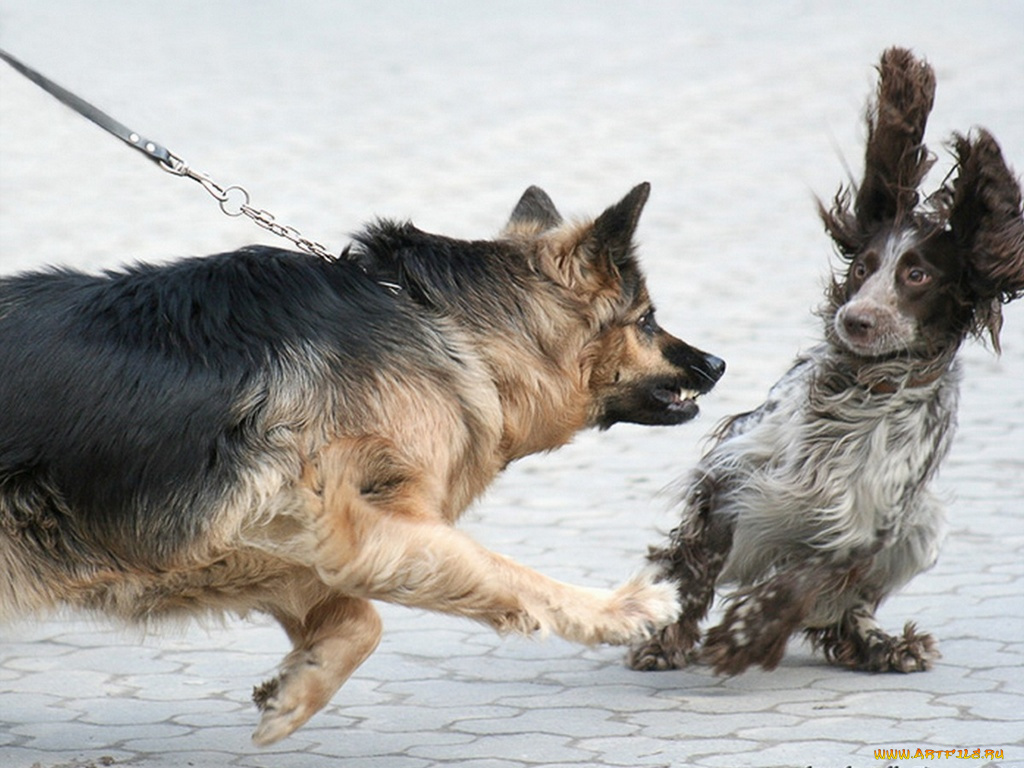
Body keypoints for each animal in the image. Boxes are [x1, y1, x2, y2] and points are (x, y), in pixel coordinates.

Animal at [2, 182, 720, 745]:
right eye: (647, 319)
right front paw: (620, 609)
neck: (443, 321)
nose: (718, 364)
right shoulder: (356, 525)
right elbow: (509, 576)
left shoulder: (293, 542)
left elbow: (360, 621)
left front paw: (299, 689)